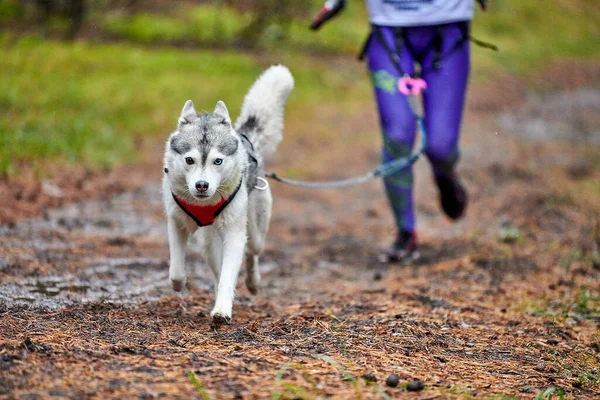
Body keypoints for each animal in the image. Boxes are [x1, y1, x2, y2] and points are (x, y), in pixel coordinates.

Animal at [163, 65, 294, 324]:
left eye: (218, 161)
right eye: (189, 160)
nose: (202, 185)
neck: (204, 205)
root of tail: (244, 137)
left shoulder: (234, 234)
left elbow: (229, 274)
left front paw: (222, 310)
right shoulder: (176, 223)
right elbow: (177, 271)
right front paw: (180, 284)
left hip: (255, 230)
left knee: (252, 253)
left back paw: (253, 282)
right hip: (210, 242)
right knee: (216, 267)